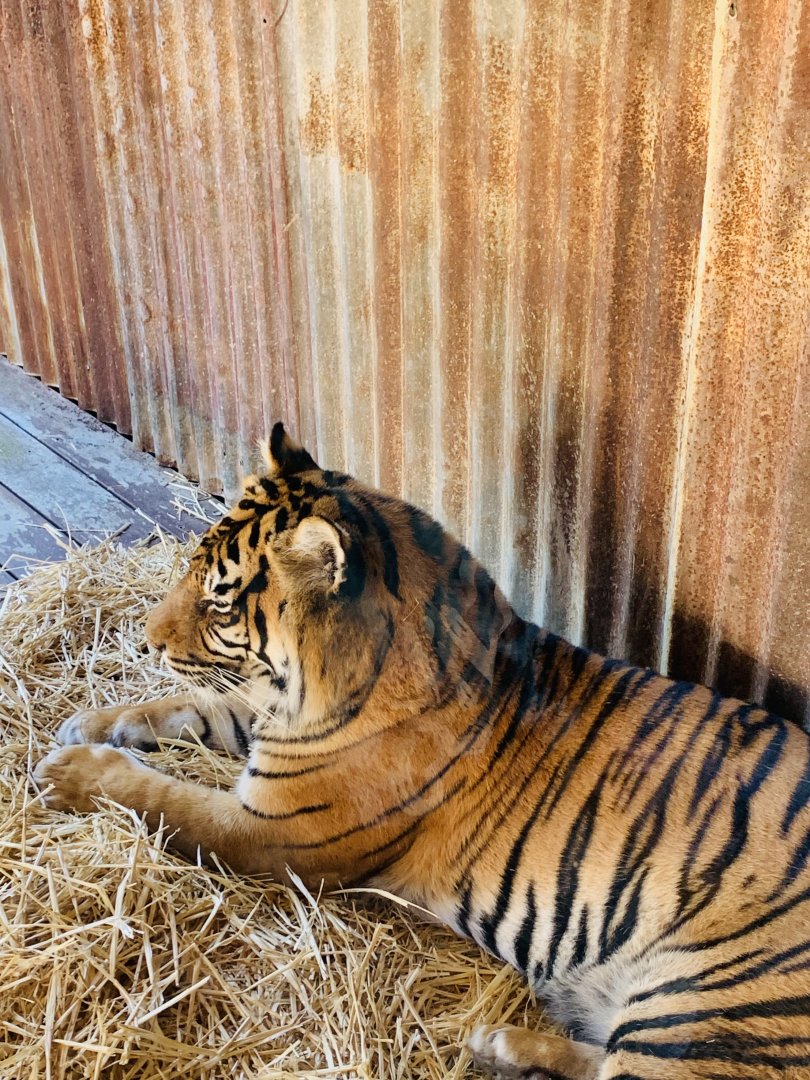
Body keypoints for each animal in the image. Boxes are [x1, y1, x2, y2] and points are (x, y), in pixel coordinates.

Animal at [34, 422, 810, 1079]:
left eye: (219, 602)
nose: (145, 639)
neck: (329, 692)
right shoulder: (264, 721)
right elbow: (192, 707)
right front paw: (88, 722)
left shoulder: (272, 829)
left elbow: (164, 797)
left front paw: (69, 769)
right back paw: (504, 1045)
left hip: (701, 998)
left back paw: (503, 1049)